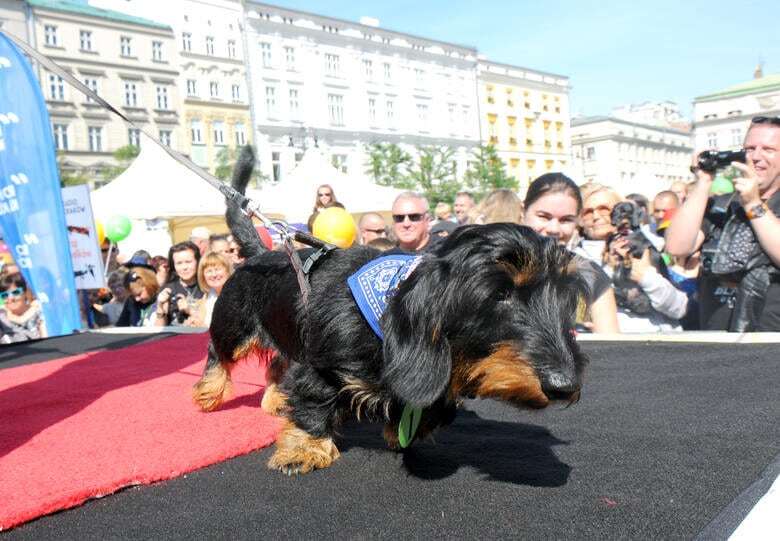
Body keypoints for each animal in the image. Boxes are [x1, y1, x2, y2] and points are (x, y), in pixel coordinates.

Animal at [192, 147, 588, 472]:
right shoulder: (318, 364)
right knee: (219, 354)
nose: (566, 386)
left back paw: (276, 397)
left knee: (277, 364)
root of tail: (261, 253)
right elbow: (312, 401)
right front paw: (304, 448)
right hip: (233, 327)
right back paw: (210, 392)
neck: (386, 308)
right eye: (500, 294)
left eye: (564, 297)